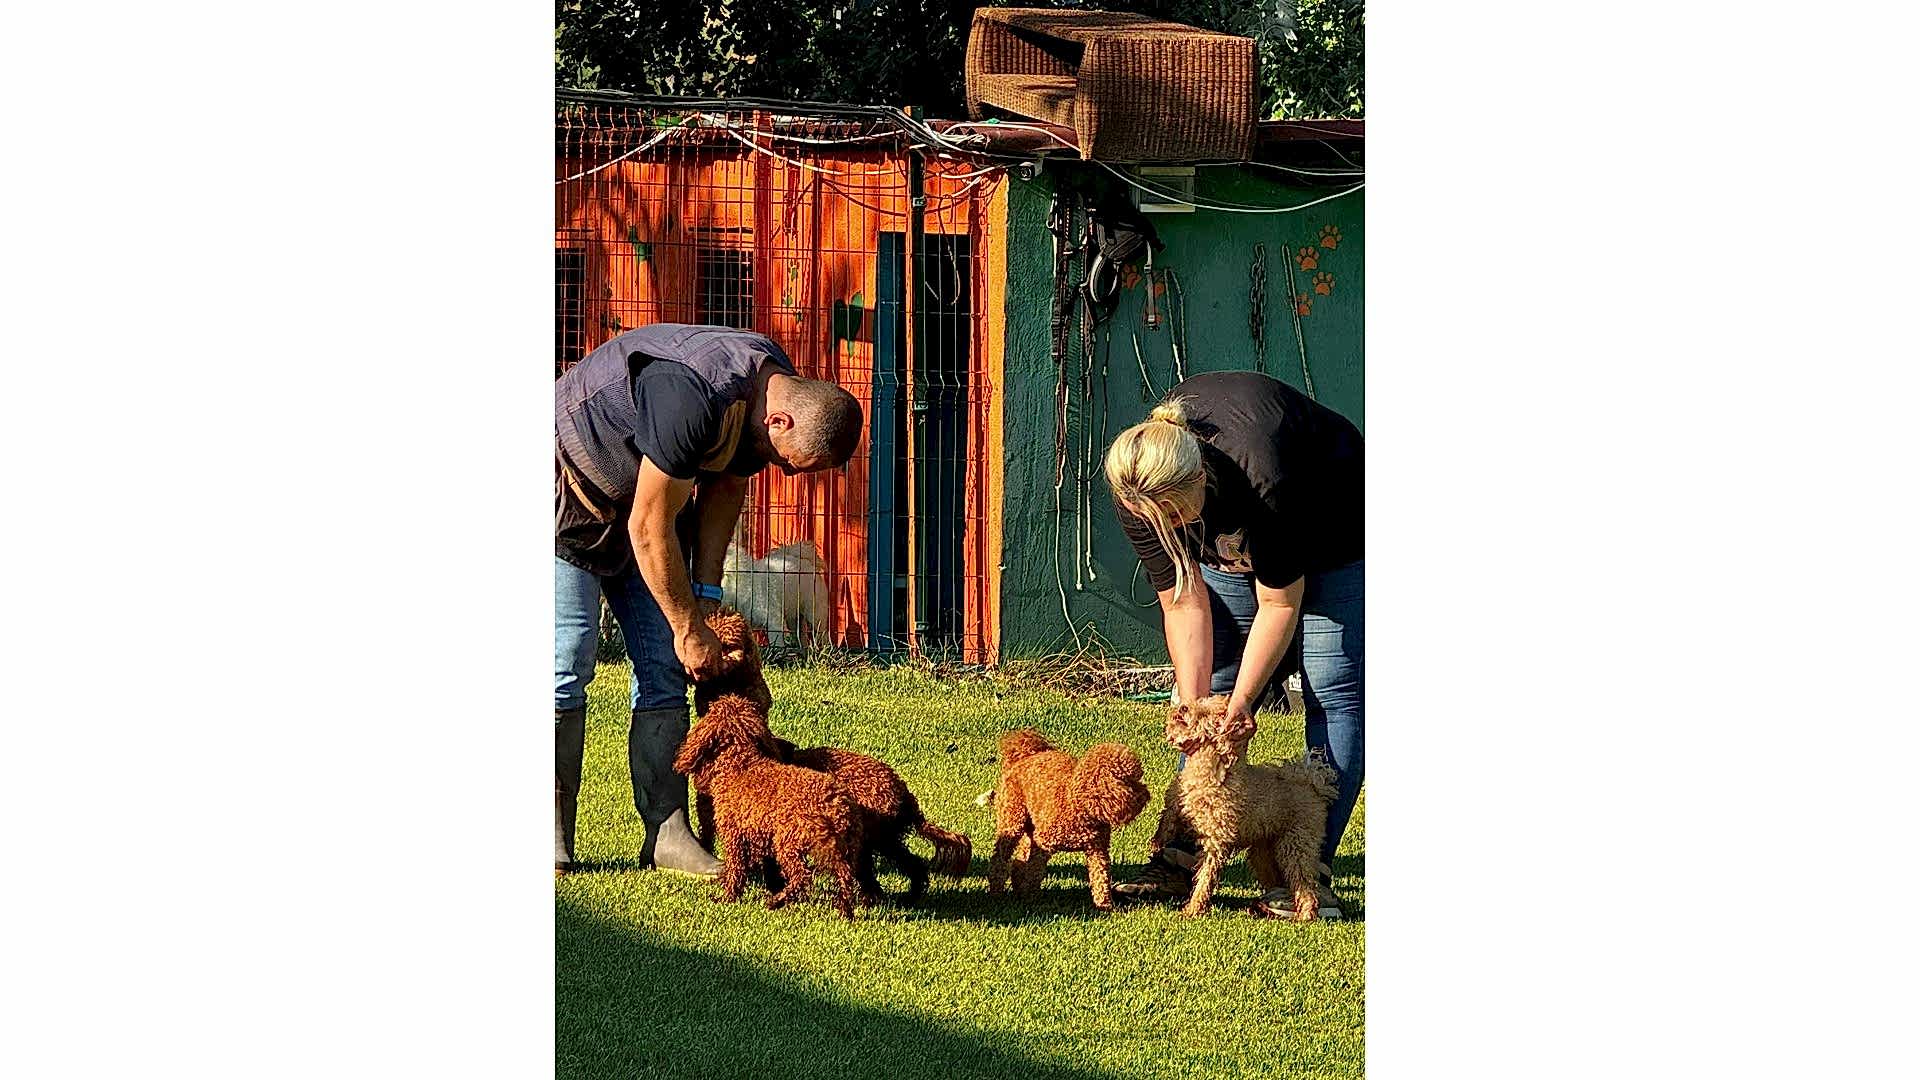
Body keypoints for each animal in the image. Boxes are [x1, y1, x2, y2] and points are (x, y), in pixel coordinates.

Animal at [672, 688, 865, 918]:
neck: (740, 765)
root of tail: (836, 806)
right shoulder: (759, 836)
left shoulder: (734, 834)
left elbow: (736, 868)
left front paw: (728, 897)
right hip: (844, 848)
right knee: (845, 876)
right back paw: (844, 910)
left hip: (788, 841)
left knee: (802, 877)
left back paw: (777, 901)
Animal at [984, 730, 1151, 910]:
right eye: (1131, 780)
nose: (1147, 794)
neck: (1077, 805)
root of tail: (1024, 755)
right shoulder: (1043, 845)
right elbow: (1034, 872)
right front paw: (1032, 898)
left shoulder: (1097, 849)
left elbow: (1101, 877)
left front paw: (1105, 906)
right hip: (1012, 821)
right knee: (1000, 859)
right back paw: (997, 891)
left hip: (1031, 828)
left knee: (1019, 861)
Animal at [1152, 695, 1337, 920]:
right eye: (1200, 702)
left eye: (1208, 714)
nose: (1183, 707)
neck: (1210, 771)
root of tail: (1312, 782)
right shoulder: (1178, 805)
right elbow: (1168, 818)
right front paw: (1157, 843)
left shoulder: (1216, 840)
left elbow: (1205, 877)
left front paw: (1193, 909)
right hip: (1265, 851)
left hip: (1297, 843)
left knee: (1305, 883)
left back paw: (1306, 915)